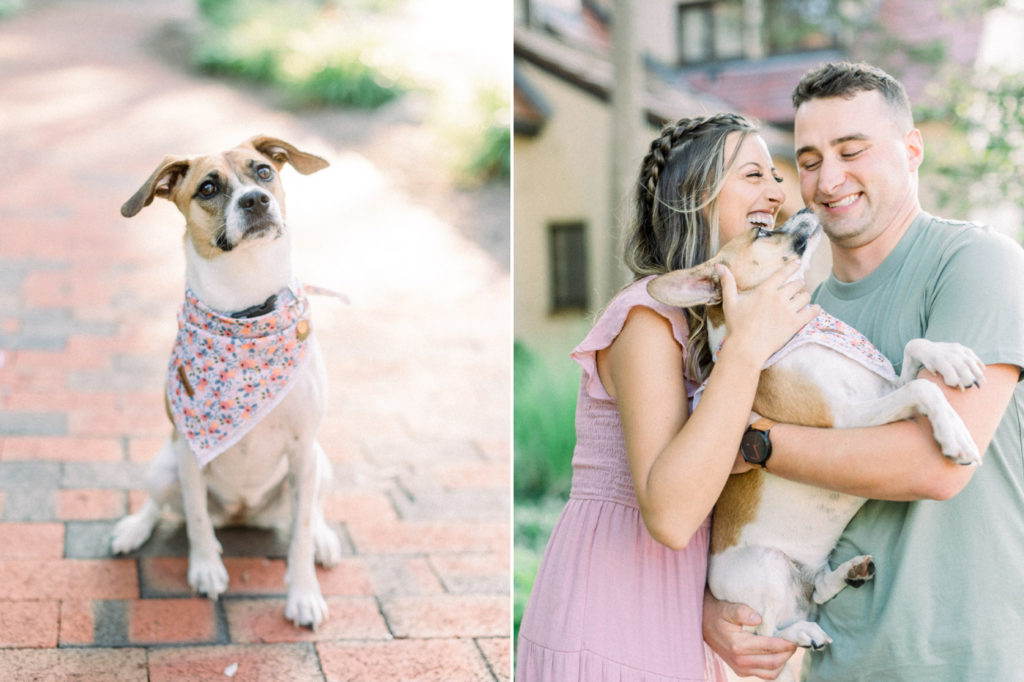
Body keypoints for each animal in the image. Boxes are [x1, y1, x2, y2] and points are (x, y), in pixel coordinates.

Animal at [111, 133, 342, 626]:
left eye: (263, 171)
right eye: (208, 188)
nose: (255, 200)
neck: (246, 304)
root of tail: (240, 514)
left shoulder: (303, 451)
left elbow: (299, 535)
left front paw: (304, 595)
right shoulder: (189, 453)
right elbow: (197, 519)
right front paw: (205, 570)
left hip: (320, 465)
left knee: (313, 508)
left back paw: (324, 539)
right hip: (164, 467)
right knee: (160, 504)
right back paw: (134, 529)